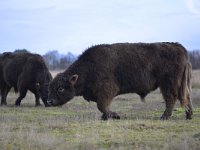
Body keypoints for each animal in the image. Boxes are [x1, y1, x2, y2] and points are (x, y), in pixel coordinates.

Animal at [47, 42, 192, 120]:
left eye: (60, 88)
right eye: (50, 87)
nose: (49, 101)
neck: (89, 67)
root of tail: (178, 46)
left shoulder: (106, 91)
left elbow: (101, 106)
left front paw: (115, 115)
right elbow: (102, 107)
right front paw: (106, 117)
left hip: (168, 84)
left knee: (171, 99)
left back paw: (164, 117)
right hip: (181, 85)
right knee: (186, 97)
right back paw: (188, 116)